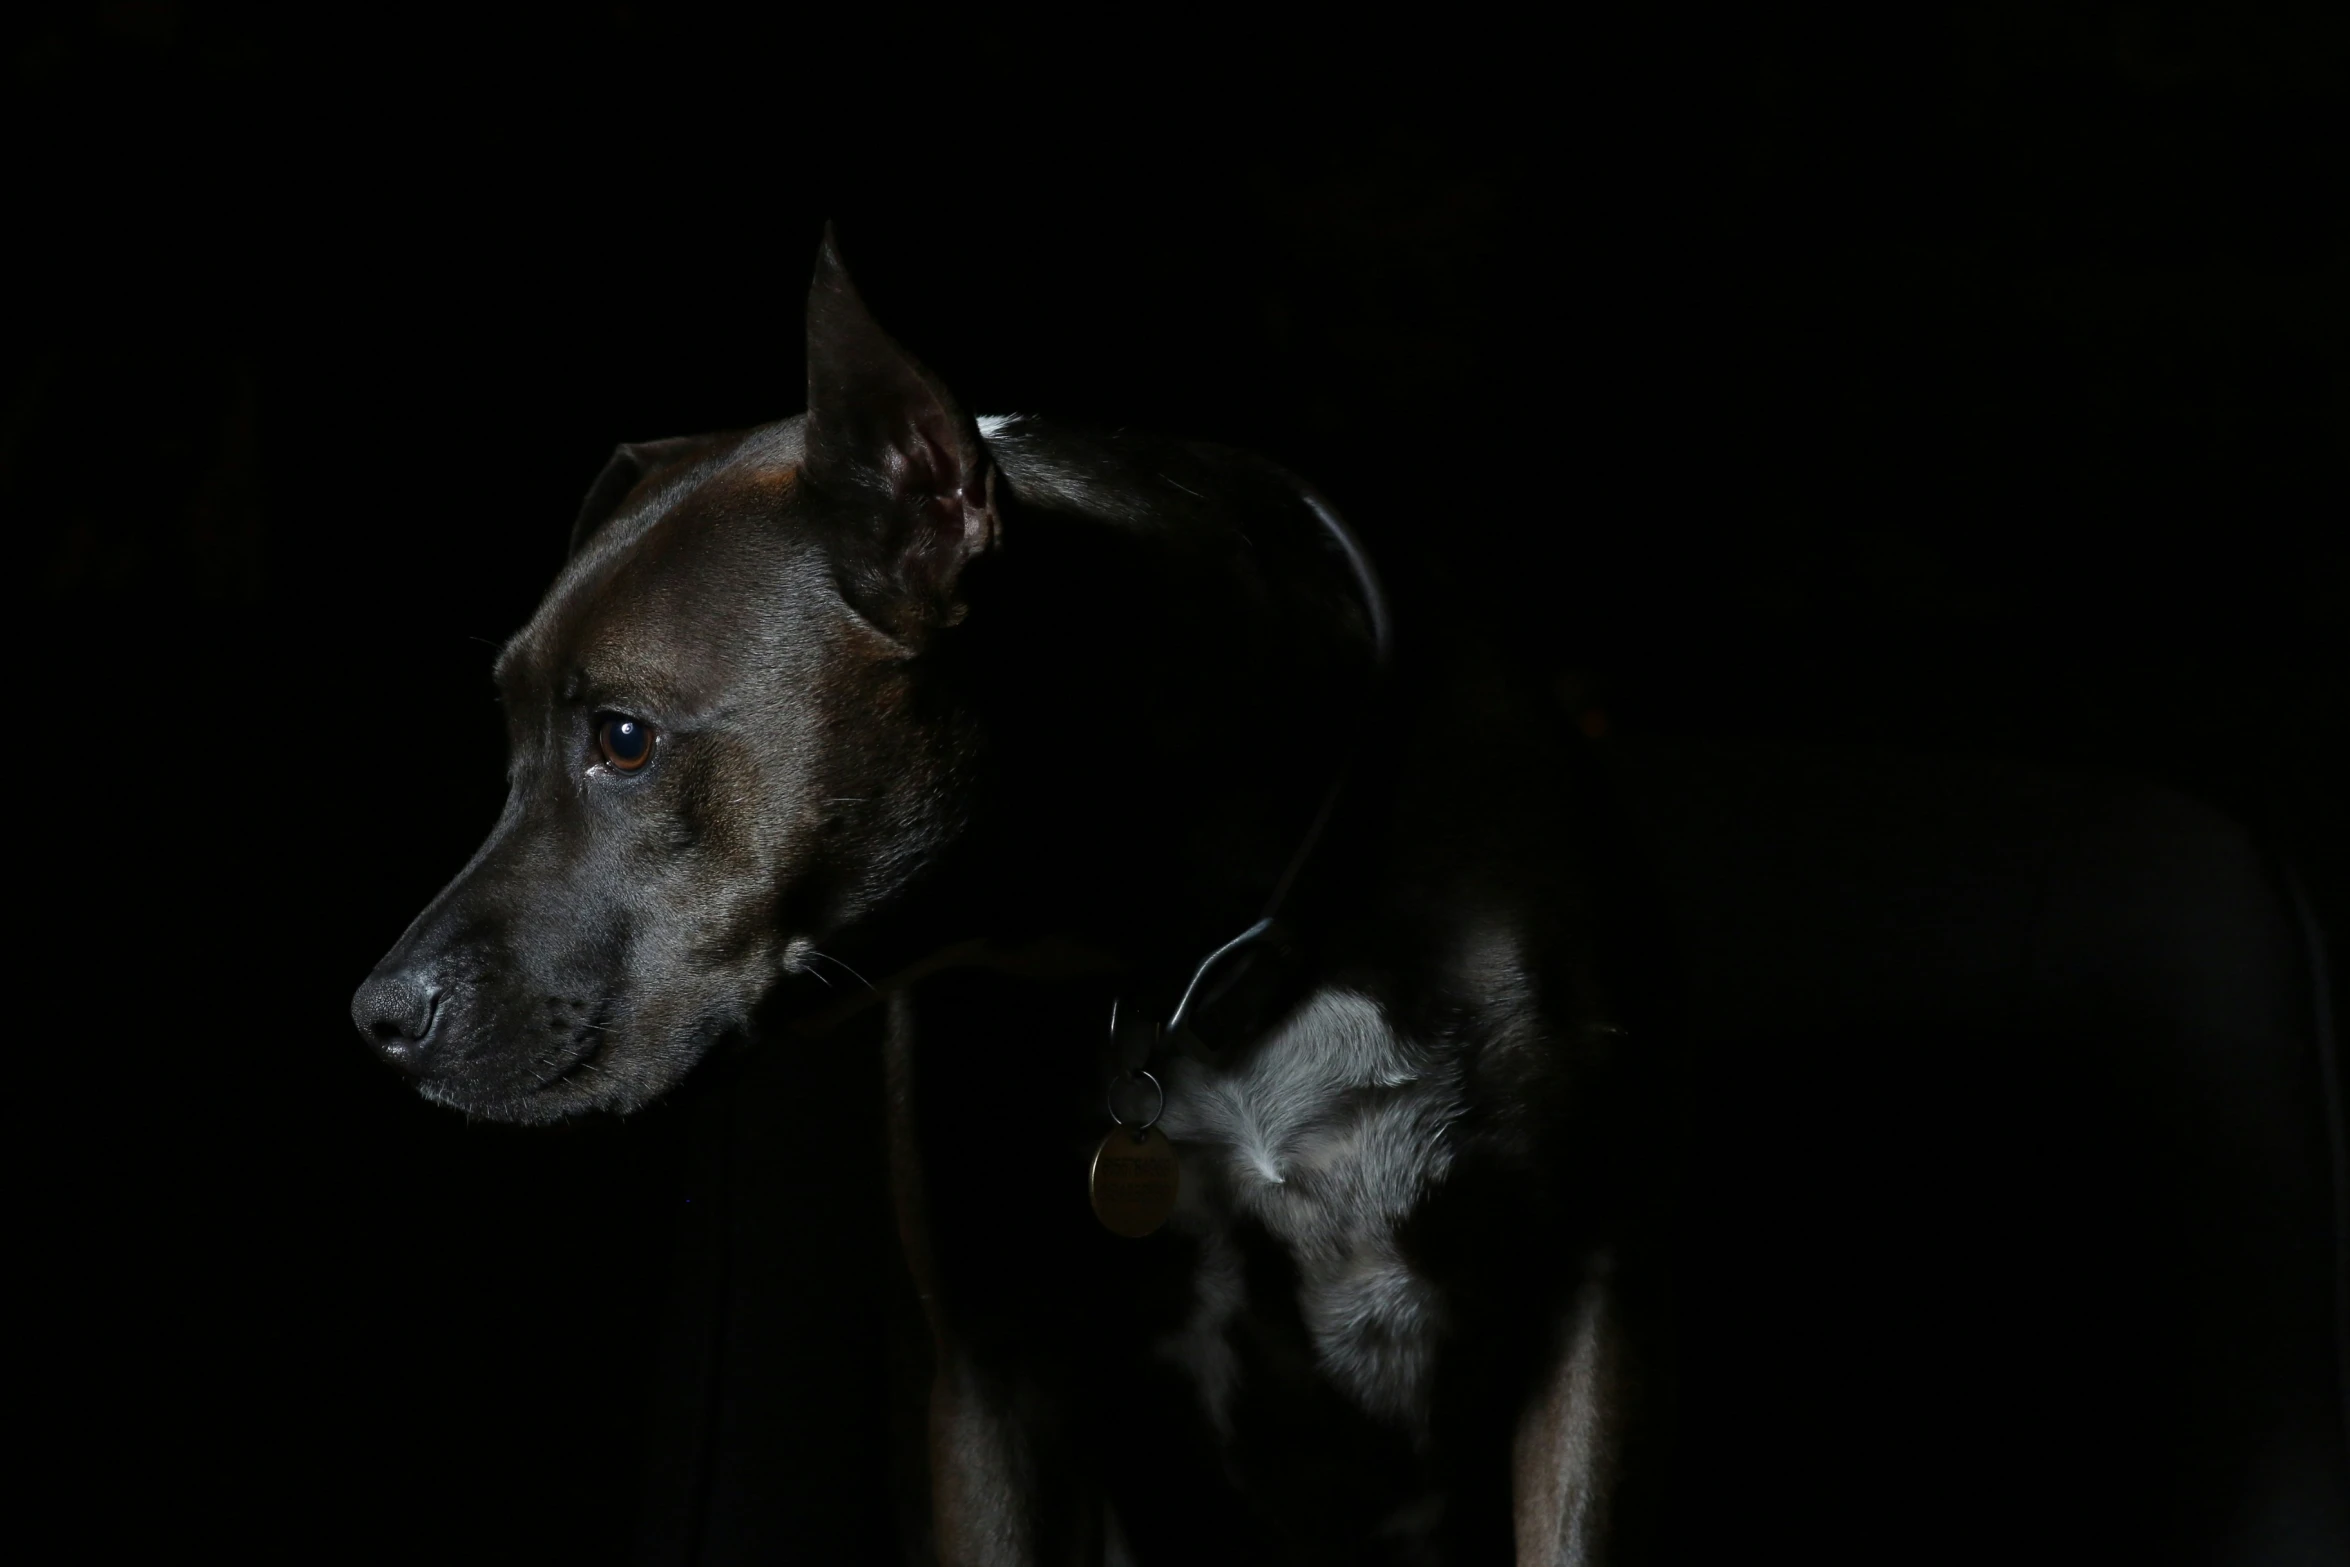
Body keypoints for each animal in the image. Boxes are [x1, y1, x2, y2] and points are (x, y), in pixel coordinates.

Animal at [352, 232, 1673, 1567]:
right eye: (509, 740)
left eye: (623, 740)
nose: (377, 1016)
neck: (1216, 947)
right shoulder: (996, 1374)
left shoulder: (1590, 1305)